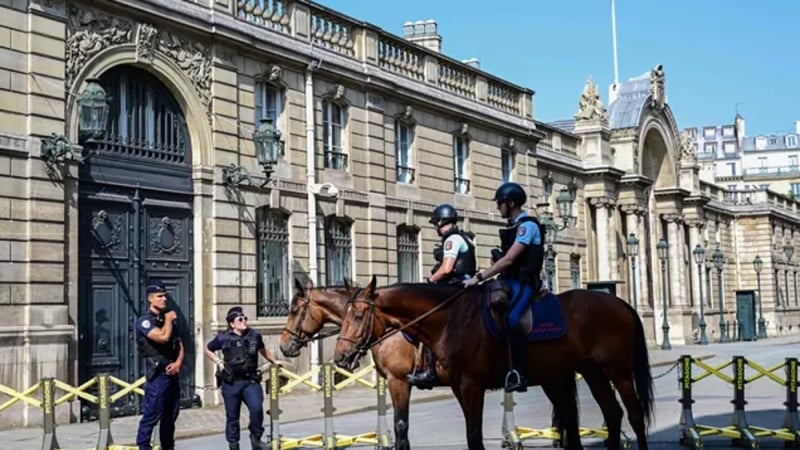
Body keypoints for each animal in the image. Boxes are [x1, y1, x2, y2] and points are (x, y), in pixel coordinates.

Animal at [334, 276, 652, 450]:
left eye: (358, 316)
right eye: (344, 315)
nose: (339, 357)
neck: (449, 318)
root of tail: (620, 303)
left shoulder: (465, 385)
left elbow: (472, 436)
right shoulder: (456, 387)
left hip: (618, 371)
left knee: (635, 415)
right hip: (588, 372)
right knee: (610, 414)